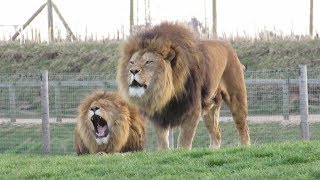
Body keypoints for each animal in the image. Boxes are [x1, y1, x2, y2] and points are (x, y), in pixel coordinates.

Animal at [117, 22, 250, 149]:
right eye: (132, 62)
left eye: (148, 62)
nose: (133, 71)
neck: (165, 91)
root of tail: (229, 47)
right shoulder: (159, 113)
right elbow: (162, 139)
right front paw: (164, 152)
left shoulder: (192, 109)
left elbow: (184, 138)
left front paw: (181, 151)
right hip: (210, 107)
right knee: (216, 132)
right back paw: (213, 150)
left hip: (236, 97)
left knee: (243, 126)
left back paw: (243, 146)